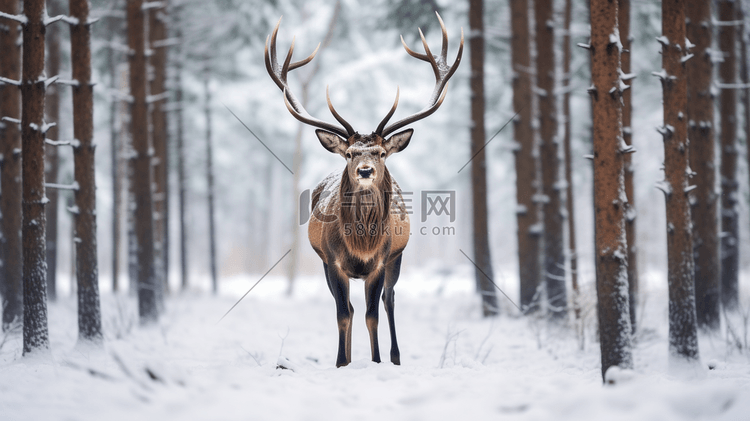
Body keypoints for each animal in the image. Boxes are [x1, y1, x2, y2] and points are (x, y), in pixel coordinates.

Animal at [264, 12, 464, 368]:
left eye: (381, 152)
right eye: (349, 153)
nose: (365, 170)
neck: (361, 246)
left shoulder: (382, 261)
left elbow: (374, 313)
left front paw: (378, 361)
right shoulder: (332, 262)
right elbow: (344, 313)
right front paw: (342, 362)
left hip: (398, 258)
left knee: (389, 301)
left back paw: (396, 356)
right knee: (351, 308)